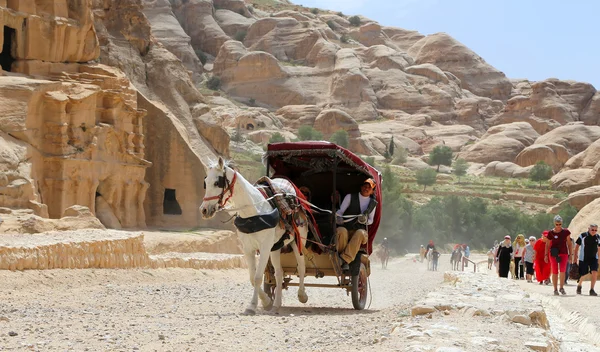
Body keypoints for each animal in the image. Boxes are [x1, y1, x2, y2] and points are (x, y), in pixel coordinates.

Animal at [200, 158, 308, 314]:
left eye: (217, 183)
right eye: (205, 182)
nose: (203, 210)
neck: (253, 212)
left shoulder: (264, 248)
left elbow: (257, 278)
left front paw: (252, 305)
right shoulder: (248, 248)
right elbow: (252, 277)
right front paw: (266, 301)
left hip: (298, 241)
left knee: (301, 267)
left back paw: (302, 295)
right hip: (275, 247)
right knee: (279, 273)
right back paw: (276, 304)